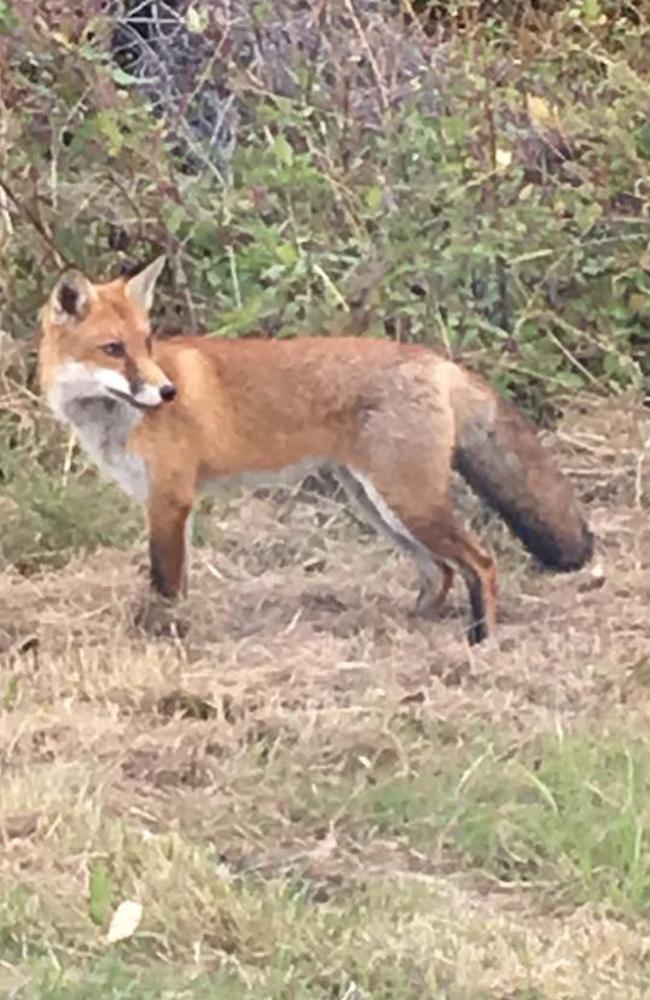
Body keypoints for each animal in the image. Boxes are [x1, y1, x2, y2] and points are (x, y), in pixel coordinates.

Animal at [36, 258, 592, 644]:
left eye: (147, 343)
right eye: (114, 349)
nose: (168, 392)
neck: (114, 419)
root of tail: (435, 360)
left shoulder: (170, 499)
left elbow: (165, 583)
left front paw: (165, 634)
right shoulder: (168, 506)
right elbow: (178, 579)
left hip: (408, 502)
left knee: (480, 561)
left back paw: (480, 639)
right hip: (375, 504)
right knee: (442, 571)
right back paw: (412, 624)